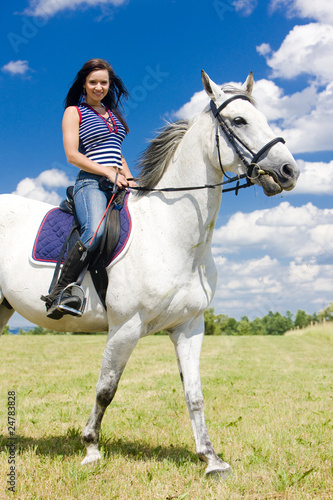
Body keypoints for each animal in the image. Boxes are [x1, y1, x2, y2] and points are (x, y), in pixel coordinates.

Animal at [0, 72, 298, 478]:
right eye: (238, 121)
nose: (289, 171)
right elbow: (106, 389)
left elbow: (194, 393)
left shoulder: (190, 326)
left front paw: (211, 459)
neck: (171, 232)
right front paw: (91, 449)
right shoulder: (125, 327)